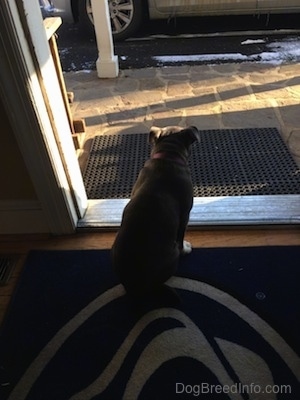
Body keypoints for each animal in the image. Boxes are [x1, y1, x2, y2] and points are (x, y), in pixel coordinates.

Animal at [110, 125, 199, 296]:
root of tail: (134, 286)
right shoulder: (185, 215)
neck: (168, 156)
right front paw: (186, 248)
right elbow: (181, 236)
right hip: (172, 255)